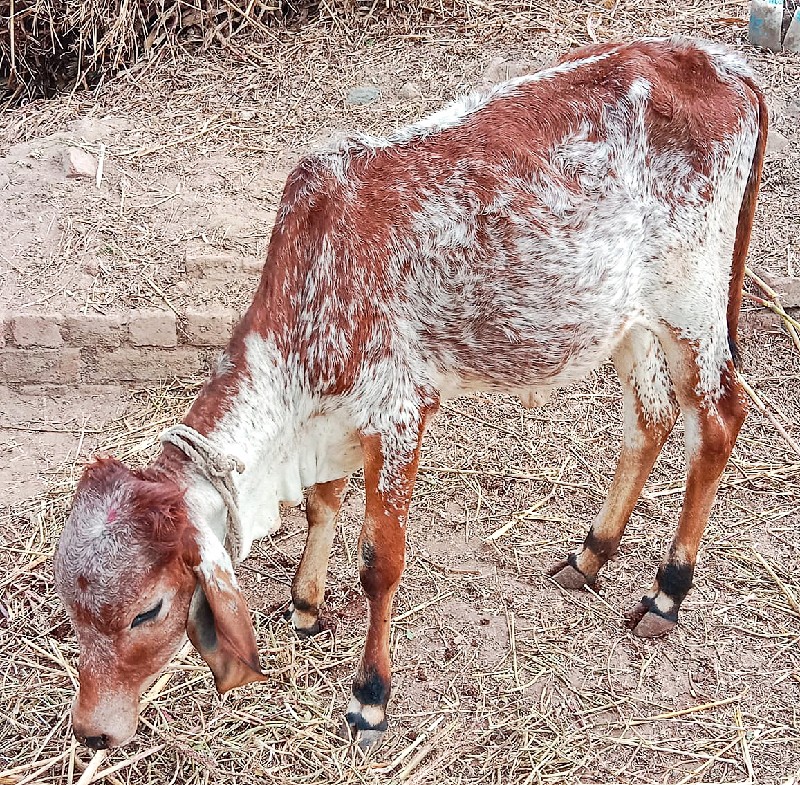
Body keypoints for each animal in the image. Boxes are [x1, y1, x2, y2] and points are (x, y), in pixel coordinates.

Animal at [53, 35, 764, 748]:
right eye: (71, 608)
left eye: (149, 610)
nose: (92, 730)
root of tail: (719, 62)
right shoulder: (332, 425)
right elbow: (322, 506)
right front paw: (306, 607)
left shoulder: (398, 414)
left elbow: (379, 563)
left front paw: (370, 696)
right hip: (627, 321)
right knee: (650, 419)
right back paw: (588, 557)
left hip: (692, 307)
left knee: (718, 422)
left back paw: (667, 593)